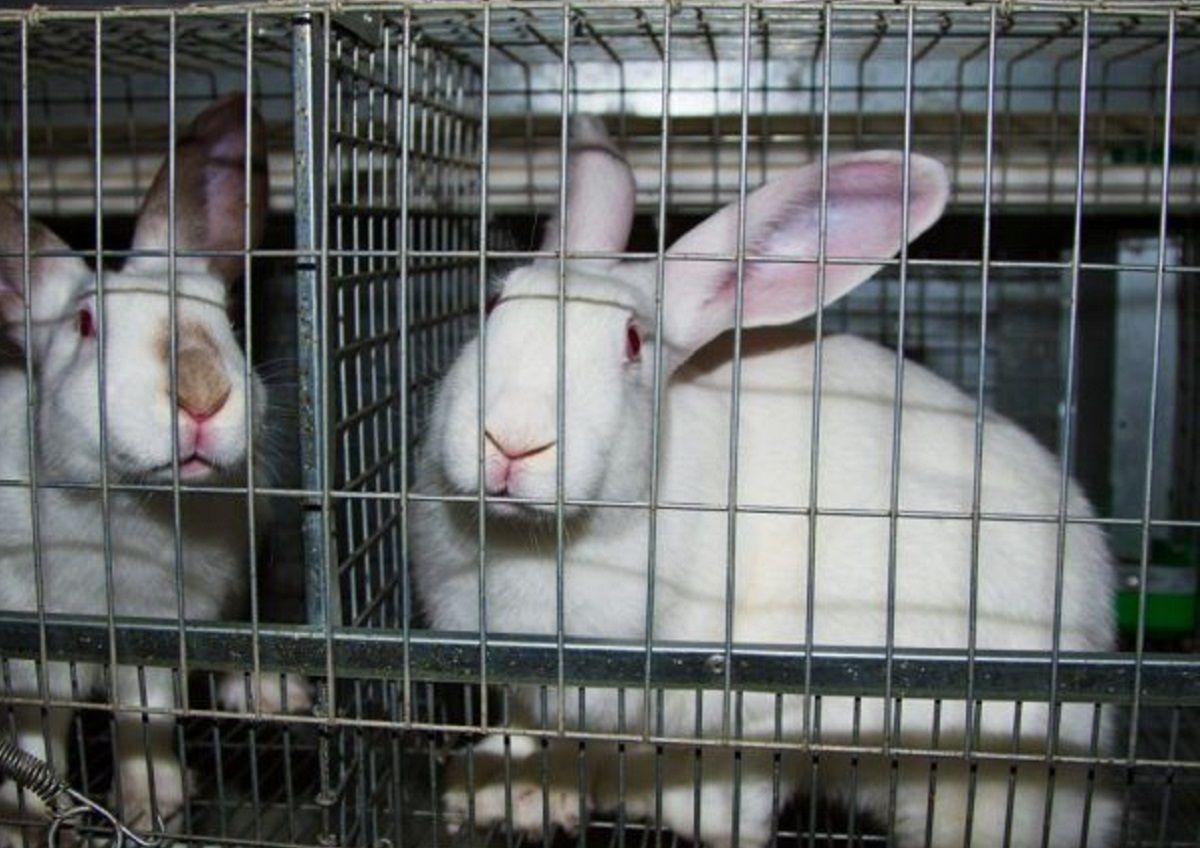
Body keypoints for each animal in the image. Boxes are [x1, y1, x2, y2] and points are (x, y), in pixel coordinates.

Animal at [0, 93, 310, 846]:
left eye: (224, 316)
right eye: (84, 325)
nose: (201, 394)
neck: (138, 512)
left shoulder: (161, 635)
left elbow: (149, 715)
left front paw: (152, 805)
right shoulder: (29, 647)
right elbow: (38, 732)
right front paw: (31, 810)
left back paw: (269, 692)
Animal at [410, 115, 1118, 848]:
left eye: (633, 341)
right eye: (494, 302)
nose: (510, 439)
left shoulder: (747, 706)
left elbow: (735, 784)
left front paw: (698, 822)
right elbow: (531, 733)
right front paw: (505, 791)